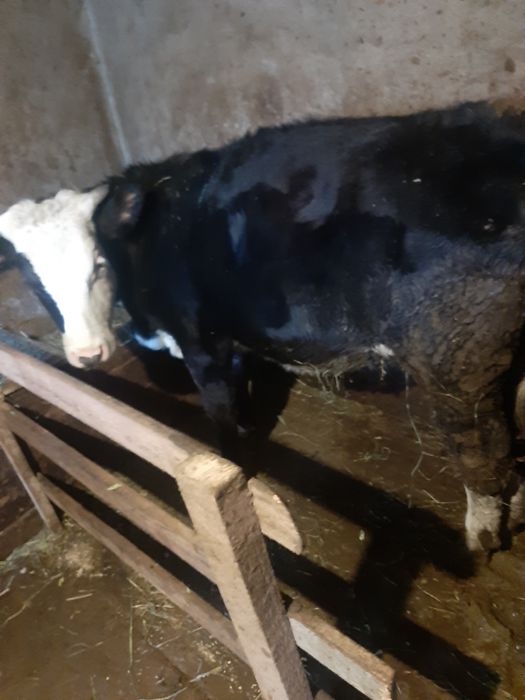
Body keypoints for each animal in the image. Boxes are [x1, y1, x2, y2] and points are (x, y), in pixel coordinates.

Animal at [1, 101, 525, 552]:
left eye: (98, 264)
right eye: (32, 279)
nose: (87, 354)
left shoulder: (202, 343)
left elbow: (221, 416)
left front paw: (238, 471)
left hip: (459, 357)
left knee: (486, 449)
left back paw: (484, 534)